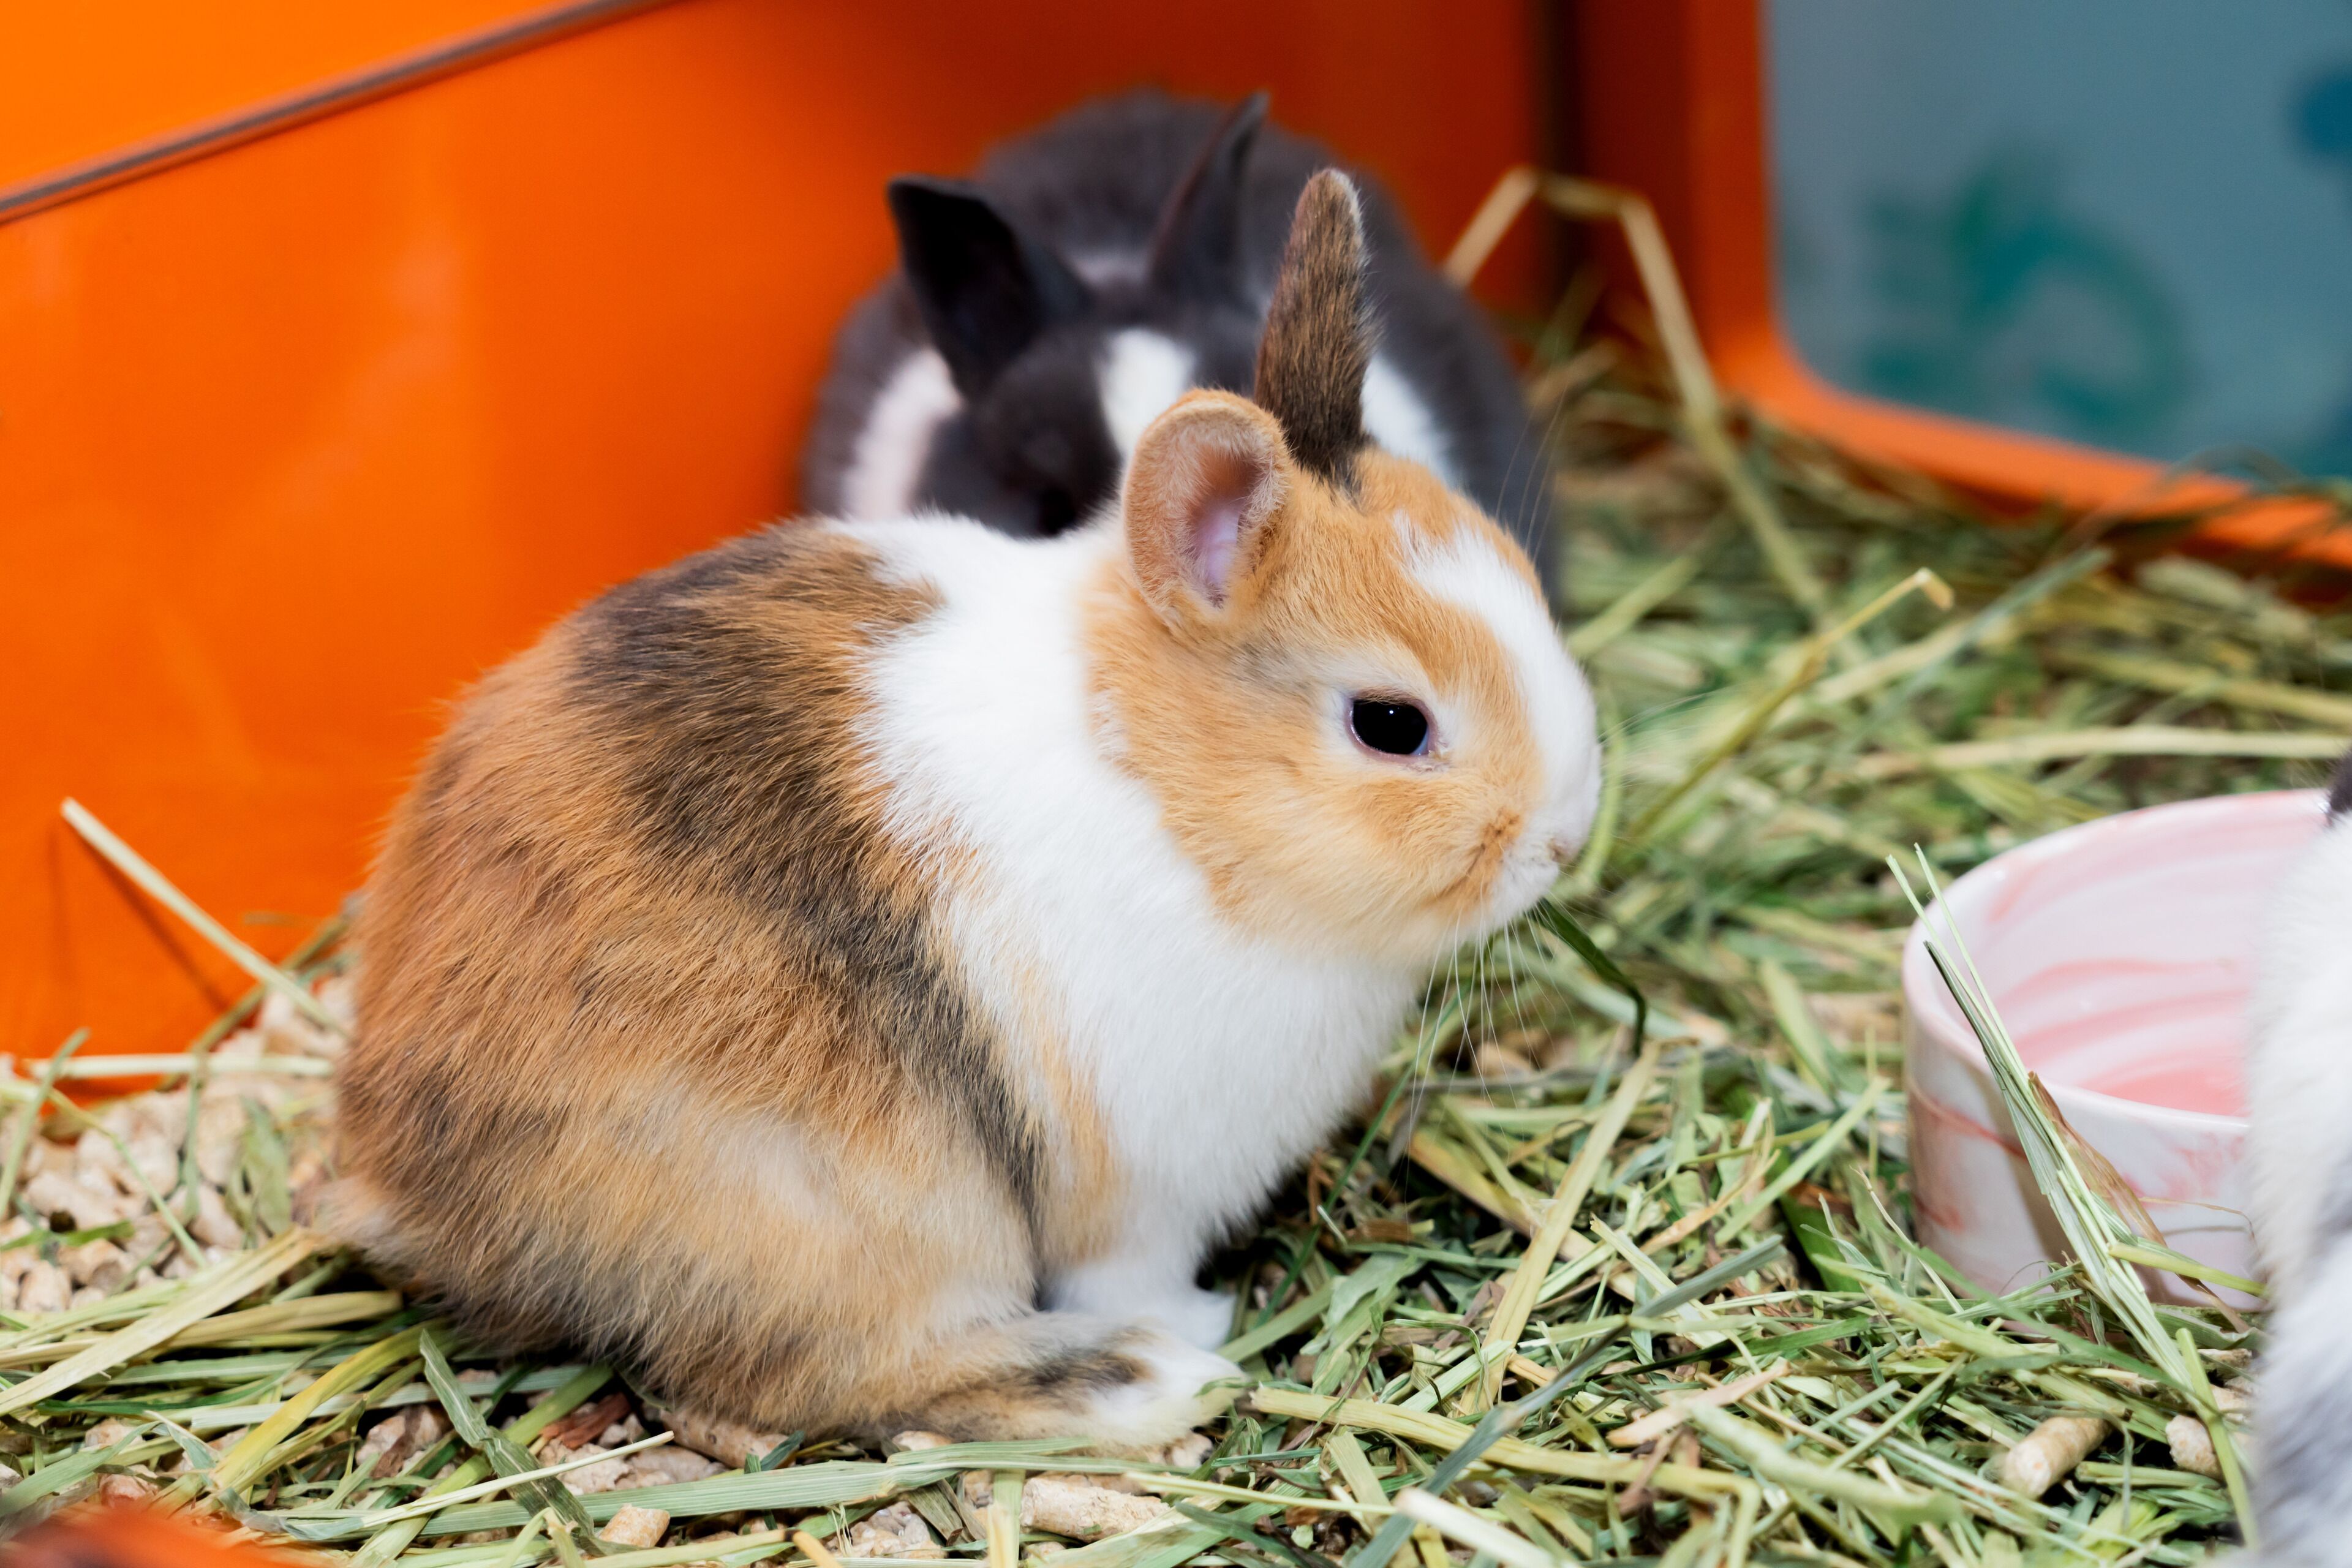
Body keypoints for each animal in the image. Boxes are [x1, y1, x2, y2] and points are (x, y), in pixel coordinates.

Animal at [331, 172, 1600, 1450]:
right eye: (1390, 724)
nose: (1565, 836)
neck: (1166, 791)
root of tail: (407, 1180)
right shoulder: (1137, 1198)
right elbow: (1129, 1267)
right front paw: (1192, 1322)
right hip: (857, 1222)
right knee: (836, 1374)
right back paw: (1145, 1378)